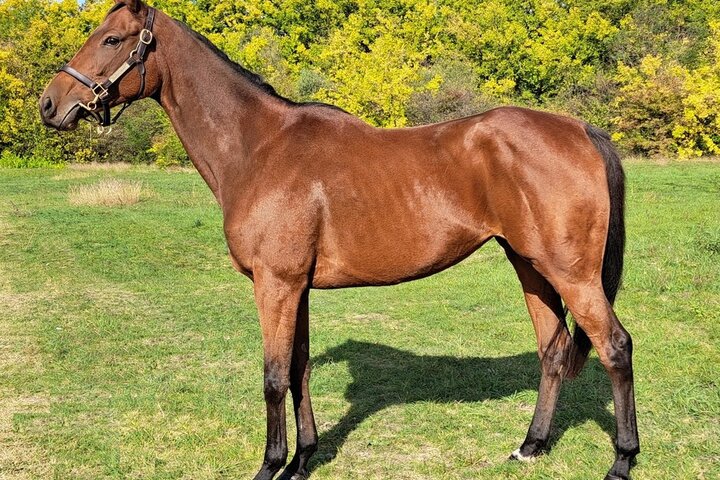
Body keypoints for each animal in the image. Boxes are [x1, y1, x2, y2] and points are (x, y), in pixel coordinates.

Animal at [40, 1, 639, 479]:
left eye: (111, 39)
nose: (50, 104)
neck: (259, 147)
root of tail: (581, 129)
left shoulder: (275, 284)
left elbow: (273, 376)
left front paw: (270, 466)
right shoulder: (296, 287)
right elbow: (299, 367)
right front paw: (303, 459)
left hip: (572, 274)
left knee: (615, 346)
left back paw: (622, 460)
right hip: (530, 266)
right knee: (554, 350)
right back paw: (530, 446)